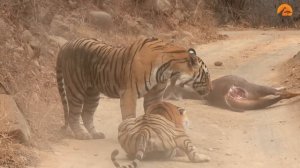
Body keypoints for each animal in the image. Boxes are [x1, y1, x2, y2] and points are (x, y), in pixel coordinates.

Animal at [56, 37, 211, 140]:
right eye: (206, 76)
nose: (211, 89)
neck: (170, 69)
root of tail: (66, 44)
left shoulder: (154, 95)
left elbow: (156, 113)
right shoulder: (129, 93)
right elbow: (129, 116)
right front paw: (131, 134)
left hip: (92, 93)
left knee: (86, 114)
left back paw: (95, 134)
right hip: (75, 89)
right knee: (74, 114)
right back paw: (81, 134)